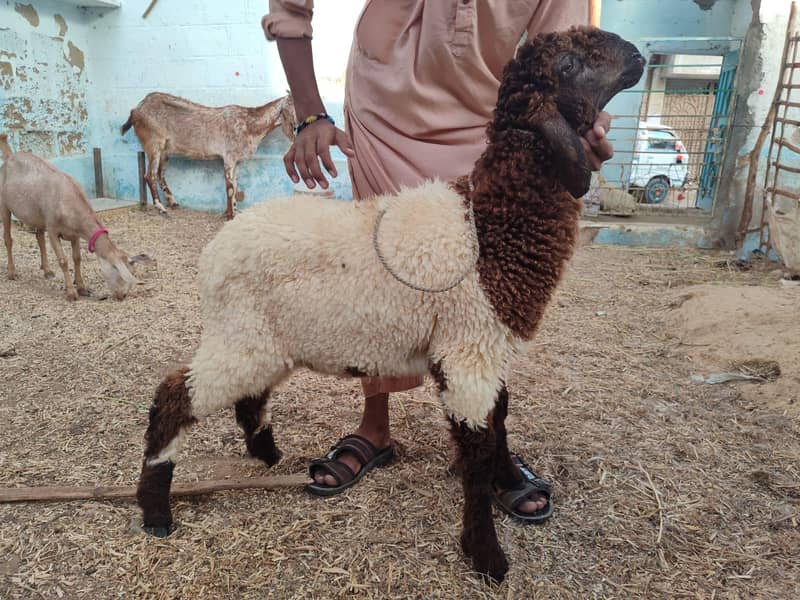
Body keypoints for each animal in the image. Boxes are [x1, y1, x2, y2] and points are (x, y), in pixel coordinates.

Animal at [0, 135, 145, 301]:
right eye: (121, 275)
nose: (122, 295)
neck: (69, 200)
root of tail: (10, 156)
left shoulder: (74, 232)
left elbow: (77, 258)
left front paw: (82, 288)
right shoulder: (53, 229)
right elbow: (63, 260)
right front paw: (71, 293)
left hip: (38, 214)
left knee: (39, 237)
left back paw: (47, 271)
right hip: (4, 204)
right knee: (8, 238)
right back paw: (12, 272)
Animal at [121, 93, 296, 220]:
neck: (249, 124)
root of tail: (135, 111)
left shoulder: (237, 161)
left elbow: (235, 184)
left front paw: (233, 211)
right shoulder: (228, 157)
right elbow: (229, 187)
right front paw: (230, 215)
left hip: (165, 151)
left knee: (159, 174)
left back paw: (173, 202)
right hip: (154, 143)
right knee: (149, 175)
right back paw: (162, 209)